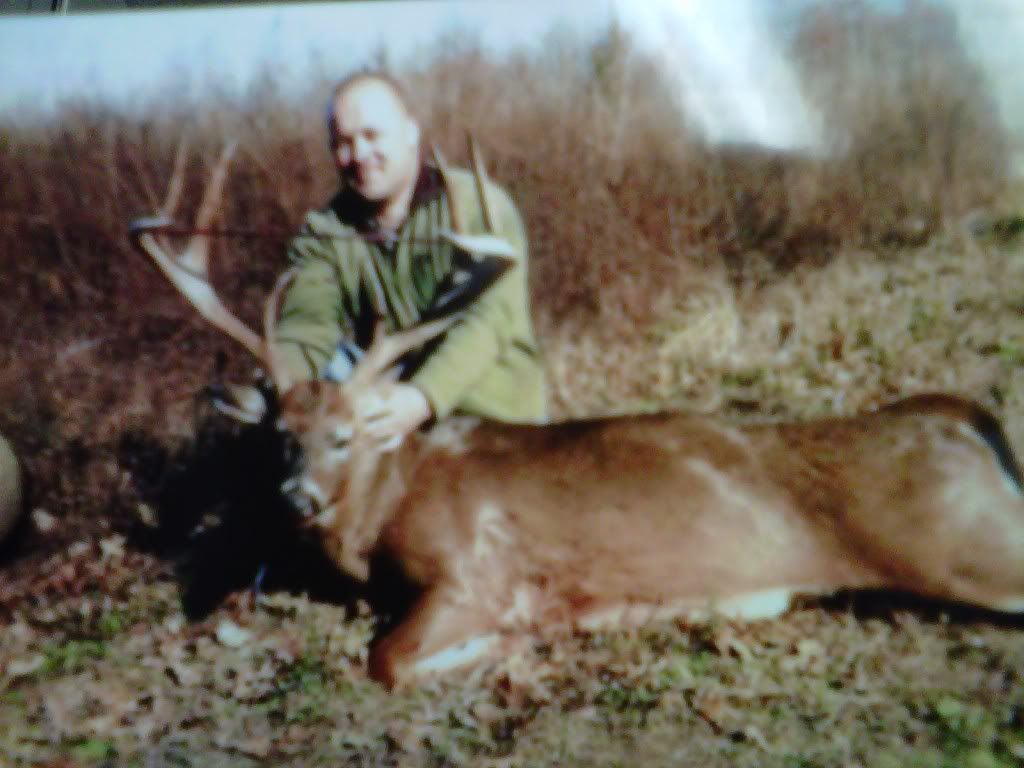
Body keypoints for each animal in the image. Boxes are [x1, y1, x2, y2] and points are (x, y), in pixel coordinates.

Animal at [128, 138, 1024, 692]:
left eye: (346, 435)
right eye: (282, 436)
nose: (297, 498)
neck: (384, 513)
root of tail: (961, 417)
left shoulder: (475, 569)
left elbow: (386, 656)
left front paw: (515, 638)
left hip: (959, 540)